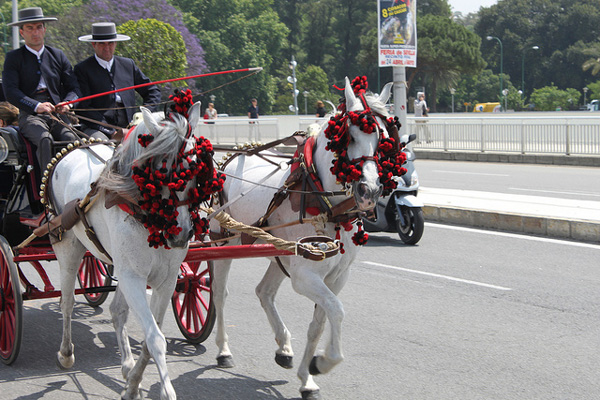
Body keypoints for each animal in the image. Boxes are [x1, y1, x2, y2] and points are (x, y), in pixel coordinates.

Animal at [49, 102, 204, 396]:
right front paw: (165, 391)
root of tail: (74, 147)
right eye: (162, 172)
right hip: (68, 246)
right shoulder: (133, 277)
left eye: (197, 169)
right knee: (67, 302)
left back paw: (126, 366)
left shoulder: (166, 280)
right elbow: (155, 339)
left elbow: (149, 336)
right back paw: (65, 353)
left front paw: (132, 383)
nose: (180, 234)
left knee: (117, 311)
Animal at [211, 78, 398, 400]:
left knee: (264, 292)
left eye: (382, 138)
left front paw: (307, 377)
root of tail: (230, 157)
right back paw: (223, 350)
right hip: (225, 242)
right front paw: (323, 362)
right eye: (348, 136)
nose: (371, 190)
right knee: (219, 294)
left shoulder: (336, 276)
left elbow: (319, 323)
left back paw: (284, 348)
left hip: (280, 253)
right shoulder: (305, 277)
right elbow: (337, 311)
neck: (322, 199)